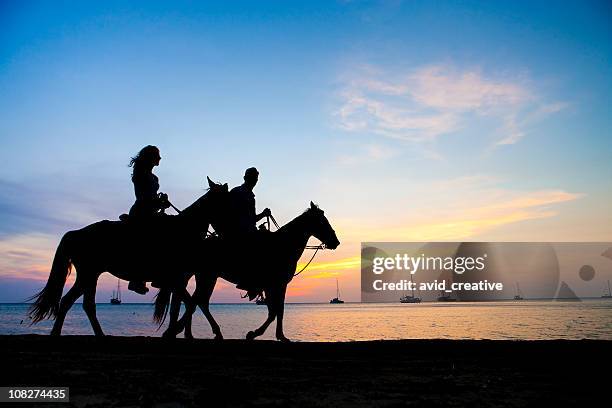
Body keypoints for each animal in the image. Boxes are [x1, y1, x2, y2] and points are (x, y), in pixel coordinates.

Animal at [27, 177, 231, 336]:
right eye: (225, 203)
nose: (225, 234)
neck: (183, 229)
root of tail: (76, 233)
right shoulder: (175, 280)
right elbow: (190, 304)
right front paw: (174, 331)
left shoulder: (178, 280)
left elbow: (186, 305)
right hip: (87, 274)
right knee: (73, 302)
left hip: (91, 275)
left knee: (82, 304)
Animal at [157, 202, 340, 342]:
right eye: (322, 221)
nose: (336, 242)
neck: (283, 246)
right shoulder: (277, 284)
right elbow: (275, 311)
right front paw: (260, 334)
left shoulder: (275, 286)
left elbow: (276, 311)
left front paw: (275, 335)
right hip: (207, 276)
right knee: (197, 301)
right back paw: (181, 330)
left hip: (205, 277)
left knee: (196, 301)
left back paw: (191, 332)